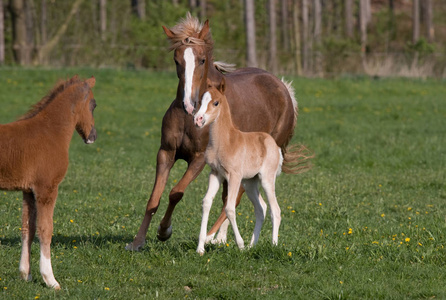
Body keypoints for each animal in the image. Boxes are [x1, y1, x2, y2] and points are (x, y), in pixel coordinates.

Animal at [0, 75, 97, 288]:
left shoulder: (28, 191)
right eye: (94, 104)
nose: (93, 136)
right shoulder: (47, 189)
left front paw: (25, 274)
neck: (50, 131)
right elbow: (46, 229)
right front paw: (50, 279)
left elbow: (28, 228)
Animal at [193, 82, 284, 255]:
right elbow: (206, 202)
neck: (224, 141)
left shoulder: (233, 176)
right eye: (200, 101)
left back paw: (274, 245)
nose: (198, 119)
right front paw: (200, 248)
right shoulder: (215, 174)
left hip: (266, 180)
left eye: (216, 102)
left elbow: (229, 208)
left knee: (275, 210)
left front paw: (240, 245)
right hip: (250, 183)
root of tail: (275, 145)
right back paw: (252, 245)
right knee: (261, 208)